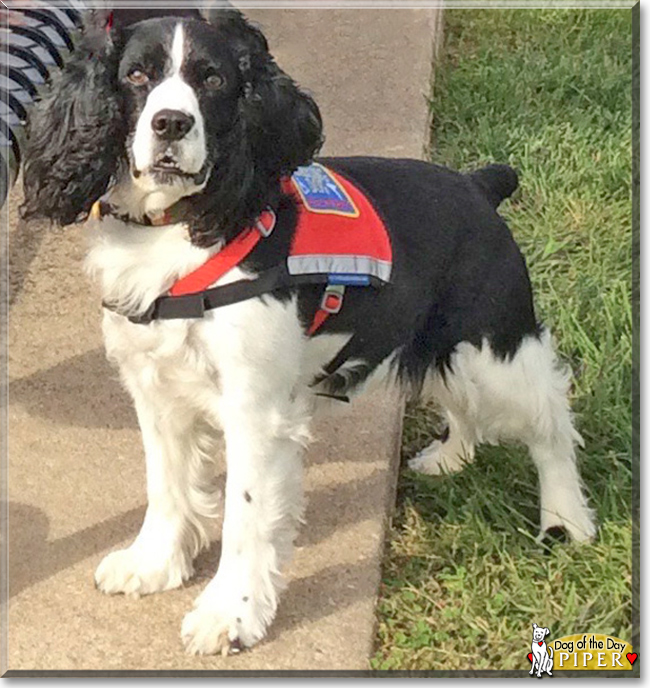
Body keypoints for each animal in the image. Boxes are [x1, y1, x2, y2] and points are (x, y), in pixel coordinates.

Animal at [21, 10, 596, 656]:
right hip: (442, 341)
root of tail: (478, 185)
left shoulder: (255, 407)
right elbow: (166, 484)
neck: (181, 229)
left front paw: (229, 615)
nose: (171, 122)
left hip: (494, 346)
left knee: (551, 420)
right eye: (136, 75)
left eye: (214, 79)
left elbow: (245, 517)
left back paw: (566, 519)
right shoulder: (157, 387)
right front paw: (153, 564)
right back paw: (450, 458)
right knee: (460, 401)